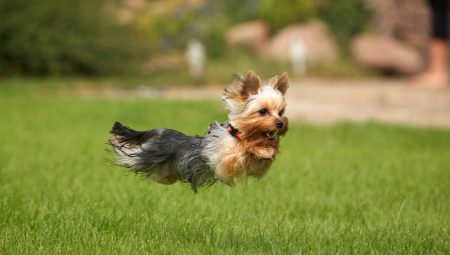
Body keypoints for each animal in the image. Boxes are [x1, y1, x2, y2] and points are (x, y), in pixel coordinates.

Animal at [110, 70, 290, 191]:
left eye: (281, 112)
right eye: (263, 111)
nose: (280, 124)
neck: (239, 135)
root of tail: (161, 131)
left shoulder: (256, 167)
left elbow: (259, 162)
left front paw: (267, 150)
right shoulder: (223, 159)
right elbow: (236, 153)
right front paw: (260, 149)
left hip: (165, 171)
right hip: (146, 156)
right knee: (131, 155)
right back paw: (116, 143)